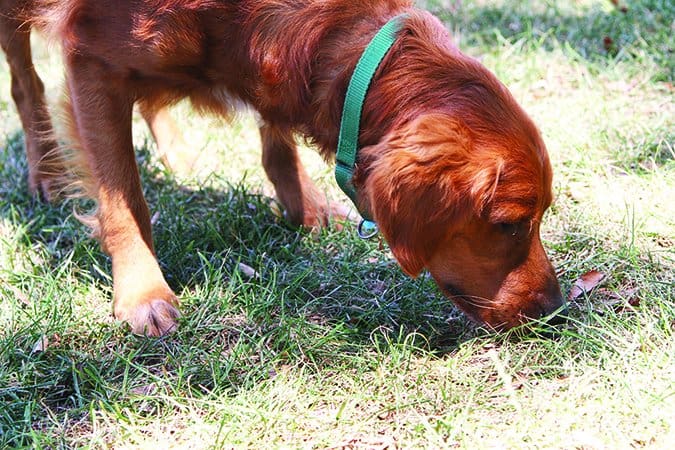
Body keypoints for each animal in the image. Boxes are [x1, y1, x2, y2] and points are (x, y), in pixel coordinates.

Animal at [1, 0, 564, 336]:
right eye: (510, 224)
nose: (556, 308)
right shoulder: (92, 60)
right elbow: (123, 199)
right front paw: (142, 292)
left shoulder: (272, 66)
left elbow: (278, 144)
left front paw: (305, 211)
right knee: (25, 81)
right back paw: (44, 172)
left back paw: (177, 155)